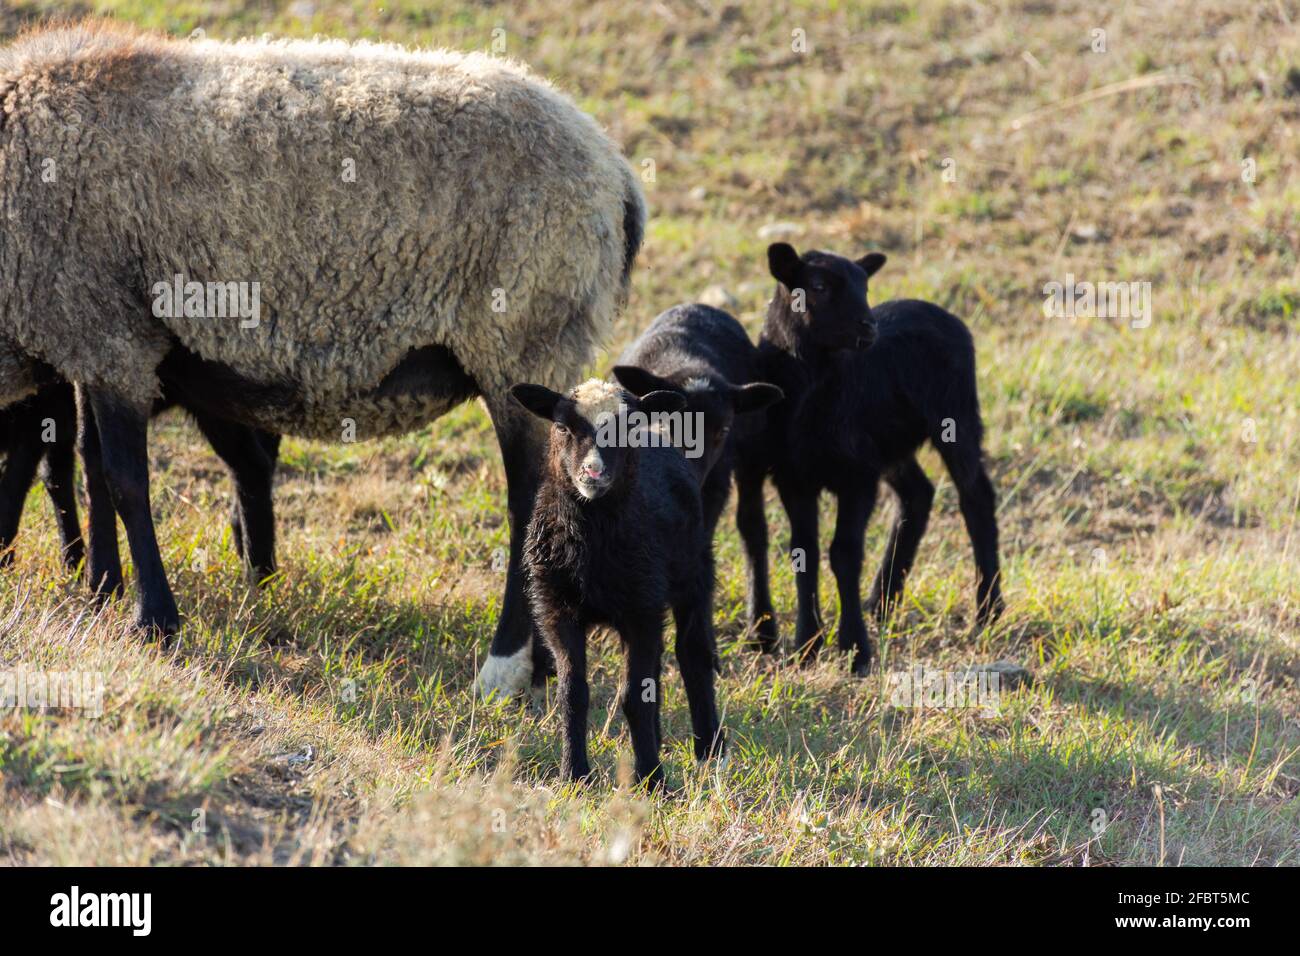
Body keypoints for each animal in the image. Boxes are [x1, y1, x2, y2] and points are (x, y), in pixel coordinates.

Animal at [0, 381, 280, 586]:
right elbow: (54, 478)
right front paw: (73, 563)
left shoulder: (40, 413)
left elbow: (16, 483)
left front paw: (5, 557)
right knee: (254, 463)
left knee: (252, 465)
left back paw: (259, 574)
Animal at [512, 378, 724, 786]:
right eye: (562, 427)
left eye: (627, 430)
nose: (593, 473)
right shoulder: (557, 610)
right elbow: (573, 694)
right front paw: (574, 775)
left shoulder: (639, 611)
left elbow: (634, 697)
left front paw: (652, 781)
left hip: (693, 572)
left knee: (693, 653)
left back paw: (710, 749)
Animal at [738, 244, 1003, 674]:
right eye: (818, 286)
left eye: (865, 285)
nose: (869, 327)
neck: (813, 388)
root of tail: (943, 314)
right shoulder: (795, 477)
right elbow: (804, 553)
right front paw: (806, 646)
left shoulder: (857, 477)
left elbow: (844, 554)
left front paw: (854, 649)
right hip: (890, 445)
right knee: (918, 494)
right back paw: (881, 601)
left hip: (956, 416)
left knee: (976, 496)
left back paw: (988, 609)